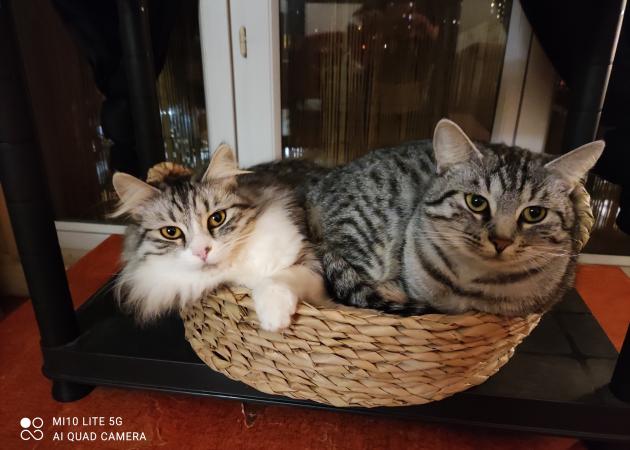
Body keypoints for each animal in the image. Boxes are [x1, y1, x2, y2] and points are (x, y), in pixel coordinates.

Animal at [112, 145, 328, 331]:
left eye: (217, 218)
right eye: (171, 232)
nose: (202, 251)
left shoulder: (309, 260)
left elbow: (277, 278)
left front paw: (273, 317)